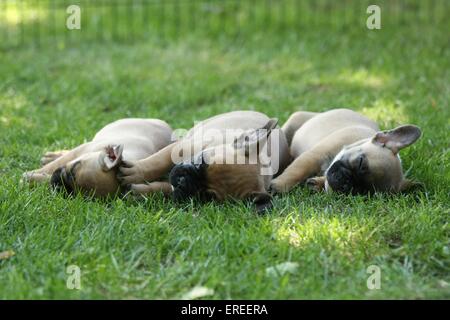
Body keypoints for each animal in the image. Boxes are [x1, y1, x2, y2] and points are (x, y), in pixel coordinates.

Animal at [22, 118, 174, 198]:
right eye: (74, 167)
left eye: (77, 194)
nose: (59, 184)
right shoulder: (80, 151)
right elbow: (54, 165)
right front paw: (34, 173)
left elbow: (48, 175)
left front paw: (33, 178)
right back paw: (52, 156)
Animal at [118, 111, 290, 211]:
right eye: (201, 161)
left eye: (206, 197)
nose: (183, 181)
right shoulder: (183, 147)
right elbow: (158, 162)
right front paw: (135, 173)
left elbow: (166, 188)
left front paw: (142, 192)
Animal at [270, 109, 422, 195]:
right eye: (360, 162)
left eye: (360, 192)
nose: (347, 182)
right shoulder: (313, 156)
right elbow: (296, 172)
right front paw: (278, 186)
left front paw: (318, 183)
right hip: (294, 121)